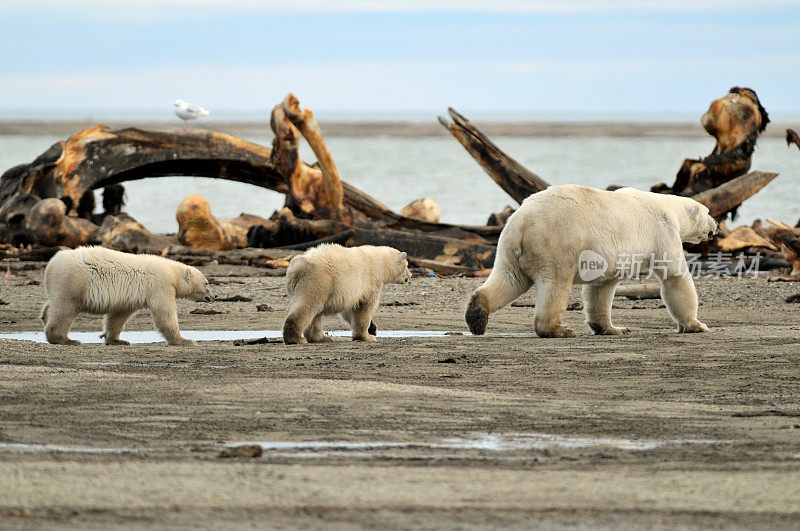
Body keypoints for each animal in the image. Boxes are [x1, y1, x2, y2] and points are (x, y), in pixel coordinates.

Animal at [40, 247, 216, 348]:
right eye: (206, 283)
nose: (215, 295)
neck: (172, 274)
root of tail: (51, 264)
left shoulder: (131, 296)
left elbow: (119, 315)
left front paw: (116, 339)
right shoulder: (160, 285)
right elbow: (165, 314)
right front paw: (186, 341)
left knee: (54, 304)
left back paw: (44, 314)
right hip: (73, 282)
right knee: (64, 310)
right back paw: (66, 339)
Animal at [462, 185, 720, 338]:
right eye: (708, 212)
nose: (716, 226)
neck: (670, 209)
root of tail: (522, 222)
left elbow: (601, 289)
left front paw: (614, 328)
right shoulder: (663, 232)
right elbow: (674, 276)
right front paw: (696, 325)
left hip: (509, 247)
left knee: (510, 278)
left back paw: (476, 316)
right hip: (556, 243)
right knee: (555, 285)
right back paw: (558, 330)